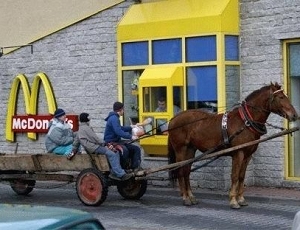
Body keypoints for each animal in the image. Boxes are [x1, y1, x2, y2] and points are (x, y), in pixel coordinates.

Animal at [169, 82, 298, 208]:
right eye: (281, 97)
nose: (295, 115)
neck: (245, 122)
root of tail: (174, 118)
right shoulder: (238, 153)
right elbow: (235, 176)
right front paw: (233, 200)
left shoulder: (248, 155)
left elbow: (241, 176)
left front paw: (241, 199)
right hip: (180, 149)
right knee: (180, 171)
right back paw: (185, 198)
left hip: (190, 149)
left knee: (186, 171)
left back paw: (191, 196)